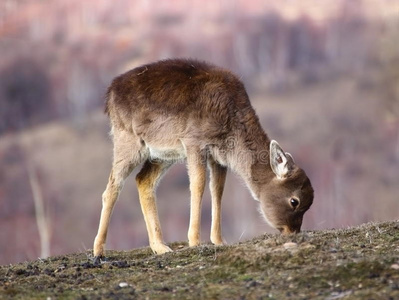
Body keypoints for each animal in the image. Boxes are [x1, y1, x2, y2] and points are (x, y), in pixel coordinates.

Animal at [94, 58, 316, 260]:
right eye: (294, 201)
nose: (292, 232)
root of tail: (109, 94)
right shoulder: (194, 141)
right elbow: (198, 184)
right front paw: (194, 241)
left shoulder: (218, 156)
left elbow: (217, 189)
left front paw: (219, 240)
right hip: (128, 140)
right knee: (112, 187)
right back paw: (99, 251)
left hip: (163, 153)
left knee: (143, 180)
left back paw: (160, 246)